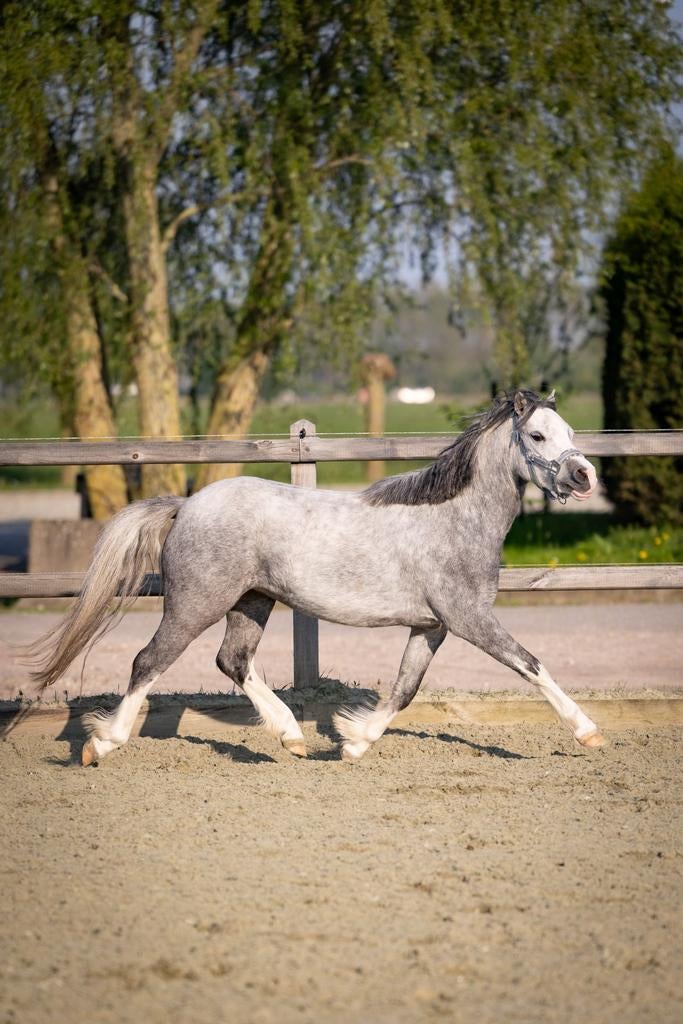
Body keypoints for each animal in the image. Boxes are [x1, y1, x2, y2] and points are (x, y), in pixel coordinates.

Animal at [31, 388, 604, 764]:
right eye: (537, 435)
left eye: (571, 433)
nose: (585, 476)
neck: (454, 519)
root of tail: (186, 506)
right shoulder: (469, 619)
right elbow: (531, 665)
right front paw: (589, 732)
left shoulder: (432, 626)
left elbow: (404, 689)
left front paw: (354, 742)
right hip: (196, 603)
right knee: (148, 662)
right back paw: (101, 744)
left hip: (252, 602)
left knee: (233, 661)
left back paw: (291, 736)